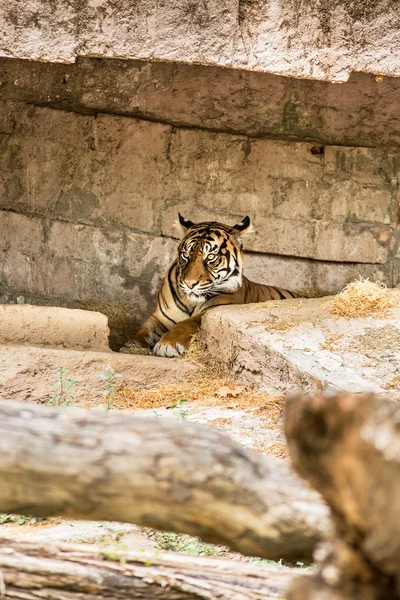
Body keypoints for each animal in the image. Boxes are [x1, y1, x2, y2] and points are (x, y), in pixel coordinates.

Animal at [125, 214, 300, 356]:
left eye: (210, 257)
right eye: (185, 254)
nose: (189, 284)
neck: (190, 302)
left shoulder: (212, 310)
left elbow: (187, 323)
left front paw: (168, 344)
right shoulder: (159, 317)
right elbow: (144, 329)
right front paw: (132, 345)